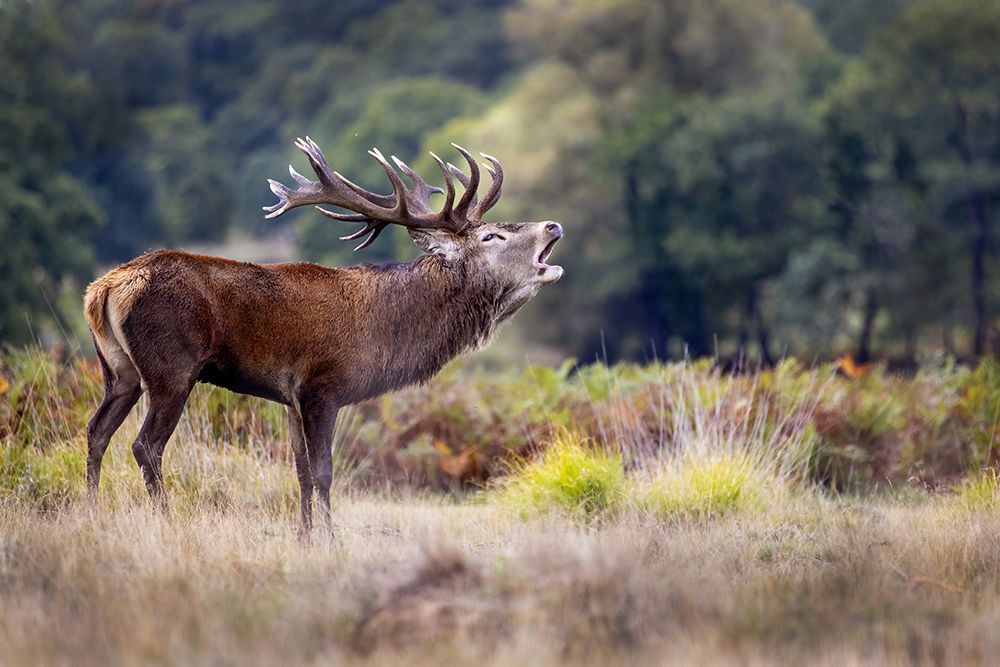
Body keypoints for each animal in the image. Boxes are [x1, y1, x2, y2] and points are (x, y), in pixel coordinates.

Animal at [83, 137, 563, 537]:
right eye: (490, 235)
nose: (553, 226)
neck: (387, 331)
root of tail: (104, 289)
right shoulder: (321, 387)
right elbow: (323, 472)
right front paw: (331, 539)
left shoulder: (289, 396)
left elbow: (299, 472)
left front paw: (304, 536)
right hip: (172, 368)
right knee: (145, 445)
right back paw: (164, 519)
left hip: (119, 372)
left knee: (96, 431)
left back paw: (93, 513)